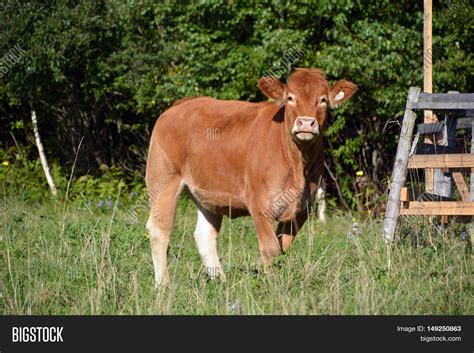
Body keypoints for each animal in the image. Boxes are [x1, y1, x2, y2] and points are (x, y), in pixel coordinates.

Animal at [145, 67, 356, 284]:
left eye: (322, 99)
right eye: (290, 98)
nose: (306, 123)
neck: (297, 164)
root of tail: (181, 104)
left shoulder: (303, 207)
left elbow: (282, 247)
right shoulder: (259, 204)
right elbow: (271, 248)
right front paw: (273, 284)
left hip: (208, 194)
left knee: (204, 235)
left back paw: (221, 281)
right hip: (163, 180)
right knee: (159, 230)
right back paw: (163, 283)